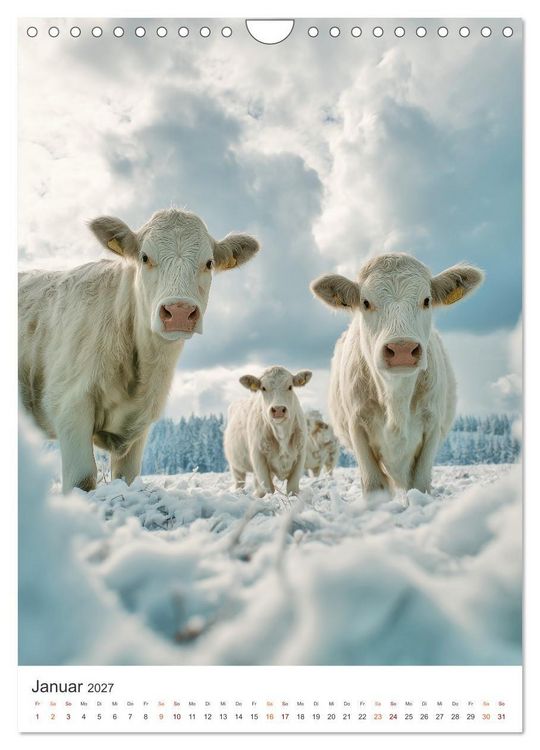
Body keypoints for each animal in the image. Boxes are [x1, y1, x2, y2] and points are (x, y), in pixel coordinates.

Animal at [19, 208, 260, 493]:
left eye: (209, 262)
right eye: (145, 257)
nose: (179, 311)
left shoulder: (138, 426)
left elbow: (127, 478)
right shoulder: (69, 404)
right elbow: (83, 480)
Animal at [224, 366, 312, 497]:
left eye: (290, 386)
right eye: (263, 388)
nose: (279, 409)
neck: (282, 436)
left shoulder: (301, 454)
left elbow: (292, 488)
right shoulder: (258, 456)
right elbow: (267, 488)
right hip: (235, 466)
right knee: (240, 481)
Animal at [310, 253, 484, 496]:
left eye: (427, 300)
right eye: (365, 302)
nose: (402, 349)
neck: (396, 400)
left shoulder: (432, 426)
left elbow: (420, 483)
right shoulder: (357, 428)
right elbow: (373, 485)